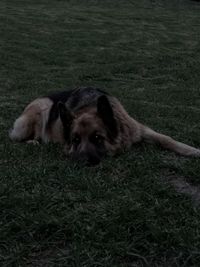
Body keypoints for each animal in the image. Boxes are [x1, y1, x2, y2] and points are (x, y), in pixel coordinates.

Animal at [9, 87, 200, 165]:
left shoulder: (140, 129)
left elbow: (166, 139)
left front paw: (192, 150)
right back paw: (34, 142)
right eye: (75, 140)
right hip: (40, 109)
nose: (81, 162)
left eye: (97, 138)